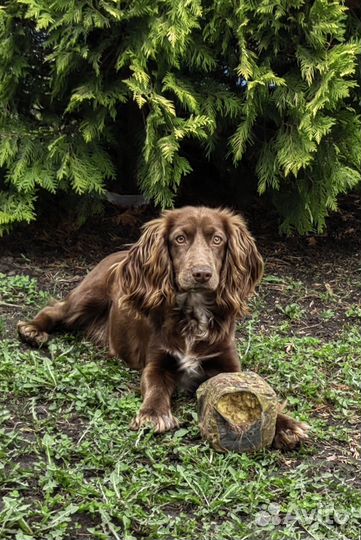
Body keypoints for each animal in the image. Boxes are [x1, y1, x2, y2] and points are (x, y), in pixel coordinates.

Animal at [18, 208, 308, 452]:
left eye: (217, 239)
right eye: (180, 238)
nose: (201, 273)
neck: (193, 315)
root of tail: (119, 252)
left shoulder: (228, 365)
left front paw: (286, 425)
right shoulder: (157, 361)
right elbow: (155, 386)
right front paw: (153, 415)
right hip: (87, 297)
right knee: (56, 309)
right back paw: (32, 330)